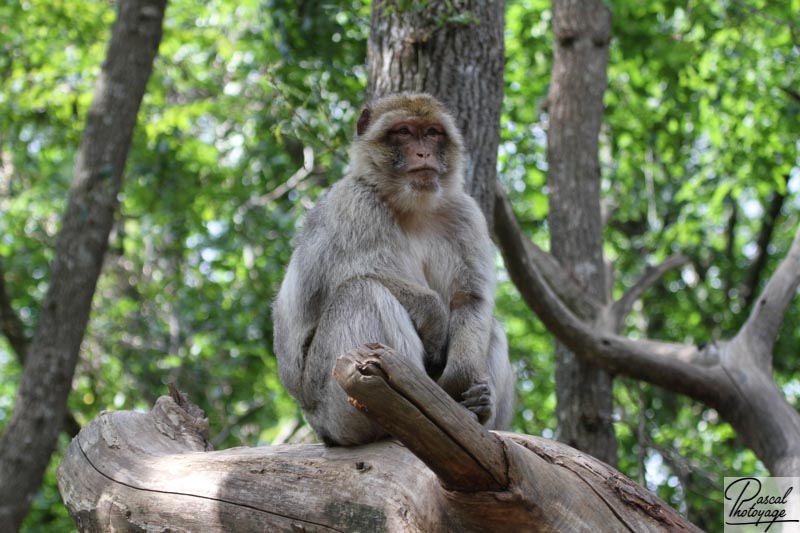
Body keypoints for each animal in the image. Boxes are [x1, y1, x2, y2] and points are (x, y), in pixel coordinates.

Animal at [272, 92, 516, 444]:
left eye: (432, 133)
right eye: (403, 131)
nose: (423, 152)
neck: (413, 206)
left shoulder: (466, 214)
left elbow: (470, 299)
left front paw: (460, 380)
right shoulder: (356, 205)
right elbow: (361, 275)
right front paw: (435, 317)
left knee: (490, 324)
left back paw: (478, 410)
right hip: (332, 403)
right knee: (362, 292)